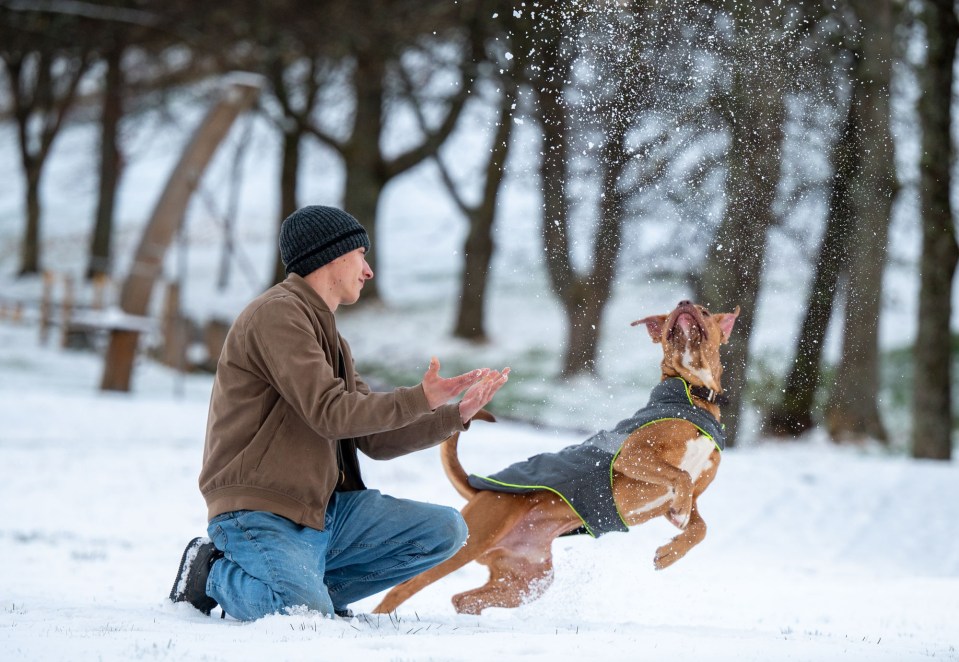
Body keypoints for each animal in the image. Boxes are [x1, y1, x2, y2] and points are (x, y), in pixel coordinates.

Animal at [372, 300, 740, 616]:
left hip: (528, 578)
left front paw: (669, 552)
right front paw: (676, 523)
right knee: (403, 587)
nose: (684, 303)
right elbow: (680, 477)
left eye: (705, 311)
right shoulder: (631, 454)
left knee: (463, 599)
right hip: (474, 539)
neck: (693, 395)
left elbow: (699, 525)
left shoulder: (690, 497)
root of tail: (480, 490)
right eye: (670, 317)